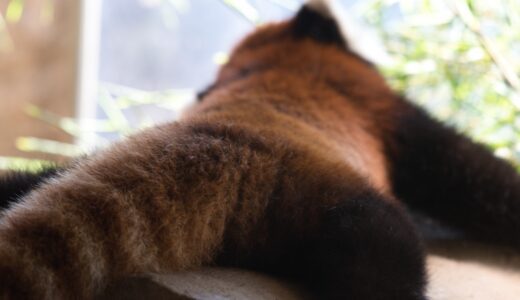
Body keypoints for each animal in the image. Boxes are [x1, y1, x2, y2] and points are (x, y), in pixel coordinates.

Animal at [1, 2, 520, 300]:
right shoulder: (381, 107)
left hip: (73, 163)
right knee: (385, 263)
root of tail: (212, 142)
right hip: (321, 199)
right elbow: (471, 173)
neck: (273, 60)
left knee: (23, 179)